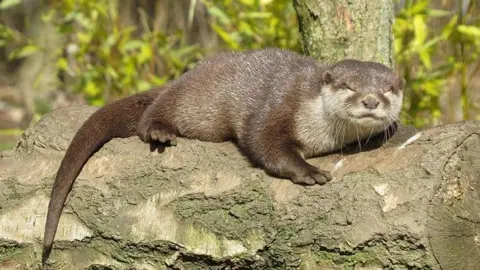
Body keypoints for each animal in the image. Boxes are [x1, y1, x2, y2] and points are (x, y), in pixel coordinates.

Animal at [43, 47, 404, 262]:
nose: (371, 100)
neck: (320, 130)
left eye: (388, 89)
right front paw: (308, 171)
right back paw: (160, 130)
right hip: (194, 103)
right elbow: (263, 143)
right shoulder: (278, 107)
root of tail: (183, 78)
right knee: (151, 114)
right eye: (349, 86)